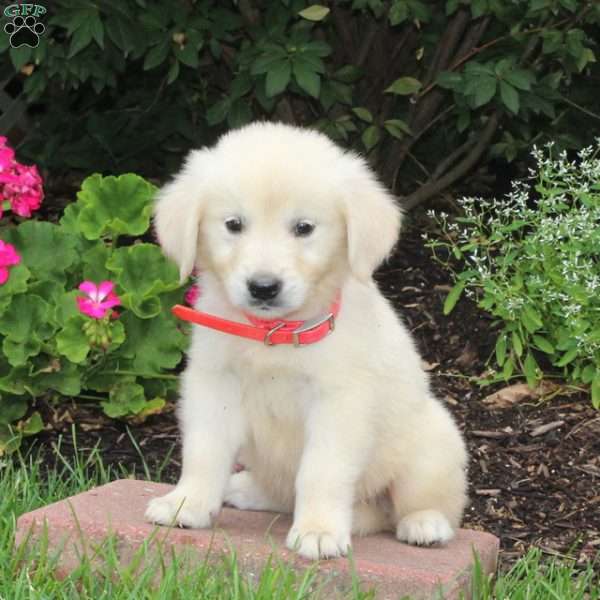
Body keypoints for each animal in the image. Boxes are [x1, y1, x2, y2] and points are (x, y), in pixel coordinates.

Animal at [145, 120, 468, 556]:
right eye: (233, 225)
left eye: (304, 228)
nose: (264, 287)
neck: (273, 335)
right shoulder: (213, 384)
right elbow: (203, 451)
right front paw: (186, 503)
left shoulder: (339, 401)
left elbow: (321, 470)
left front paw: (318, 531)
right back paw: (246, 489)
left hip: (433, 442)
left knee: (419, 504)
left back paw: (424, 524)